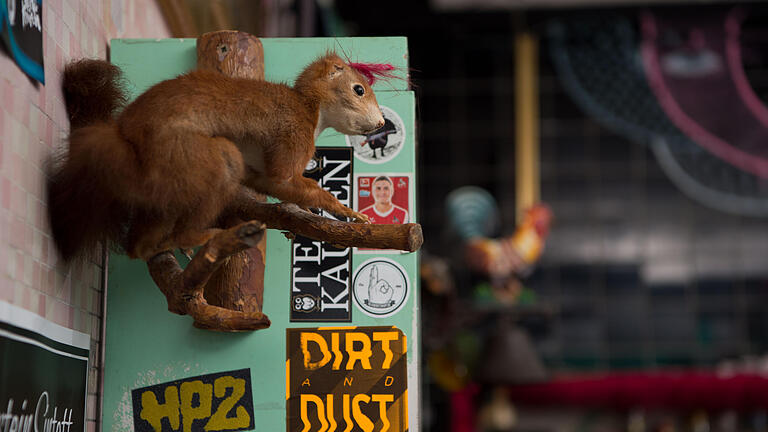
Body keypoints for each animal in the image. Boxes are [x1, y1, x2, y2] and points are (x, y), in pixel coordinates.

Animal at [50, 54, 392, 264]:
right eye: (359, 89)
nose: (380, 123)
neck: (310, 109)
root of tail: (130, 153)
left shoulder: (258, 169)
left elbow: (274, 185)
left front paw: (305, 213)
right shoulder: (293, 135)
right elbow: (289, 180)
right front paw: (346, 211)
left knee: (139, 247)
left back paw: (163, 246)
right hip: (205, 158)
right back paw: (203, 236)